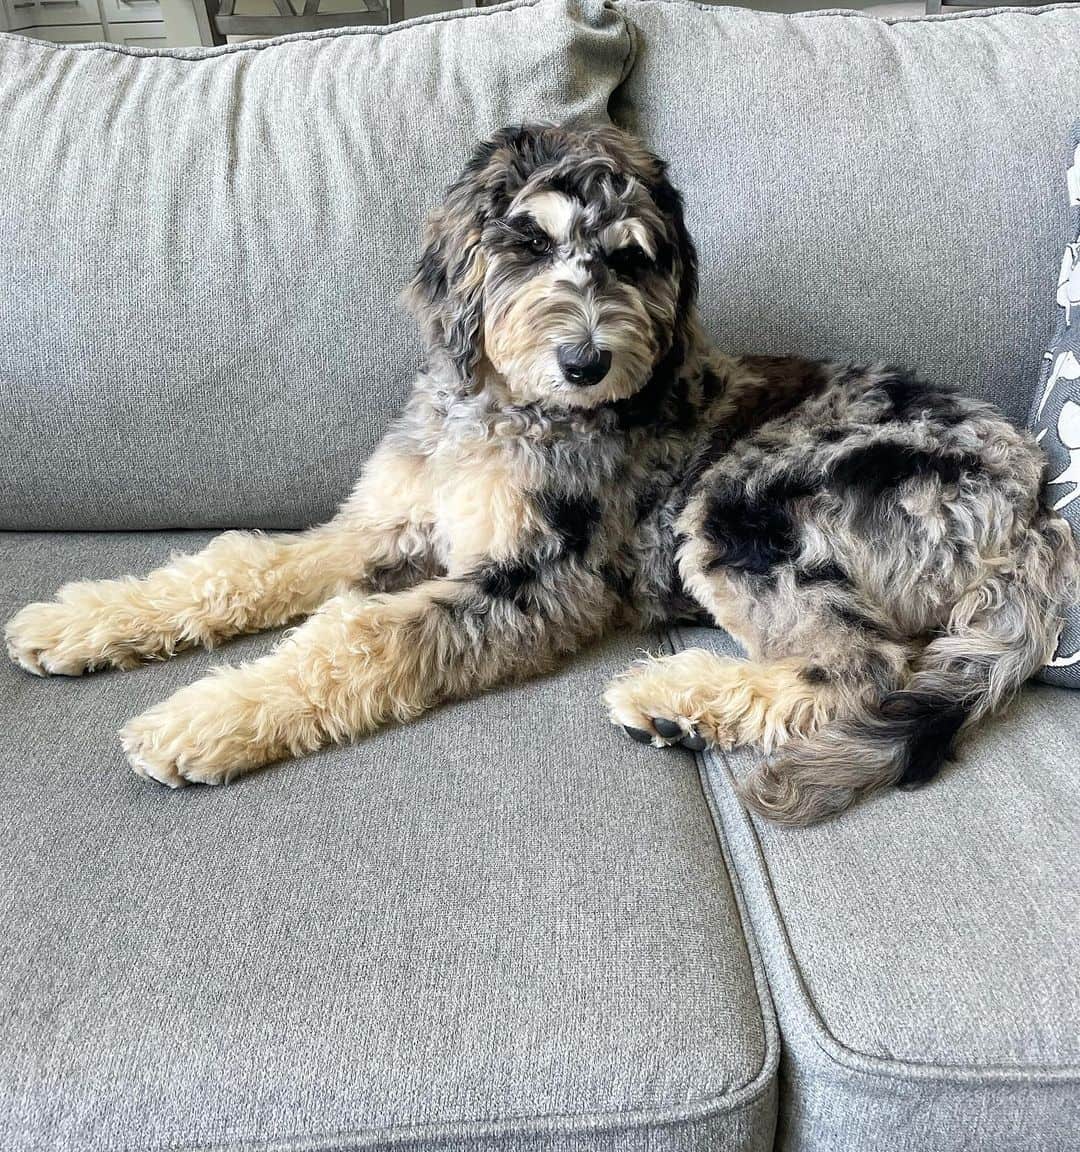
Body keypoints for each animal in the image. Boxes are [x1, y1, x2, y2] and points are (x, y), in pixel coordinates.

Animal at [4, 126, 1073, 824]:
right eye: (526, 243)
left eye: (633, 260)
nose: (587, 362)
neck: (504, 410)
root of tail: (1032, 505)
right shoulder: (386, 523)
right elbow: (243, 563)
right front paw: (81, 621)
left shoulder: (544, 578)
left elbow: (357, 635)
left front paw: (201, 720)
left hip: (743, 507)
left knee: (868, 666)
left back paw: (675, 698)